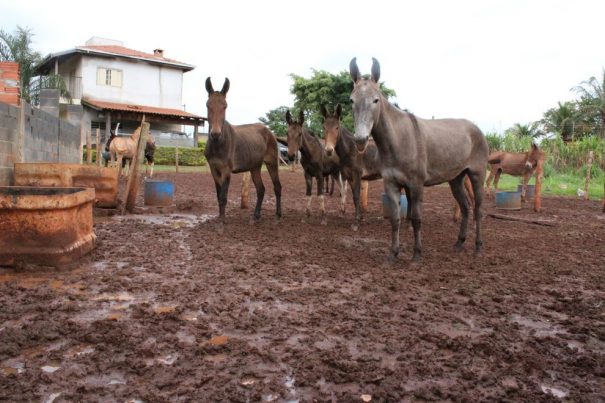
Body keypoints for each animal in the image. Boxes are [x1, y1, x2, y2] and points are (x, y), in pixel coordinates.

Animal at [202, 76, 280, 227]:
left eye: (225, 106)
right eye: (208, 105)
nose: (215, 134)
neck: (218, 144)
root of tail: (269, 131)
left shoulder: (226, 170)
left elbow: (223, 196)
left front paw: (222, 221)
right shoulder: (214, 169)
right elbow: (218, 195)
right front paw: (219, 217)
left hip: (272, 163)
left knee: (277, 187)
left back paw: (278, 215)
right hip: (255, 167)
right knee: (261, 190)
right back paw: (256, 216)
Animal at [350, 58, 486, 264]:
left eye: (376, 100)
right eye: (352, 100)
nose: (360, 140)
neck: (398, 140)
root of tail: (476, 129)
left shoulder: (416, 185)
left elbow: (416, 219)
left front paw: (416, 254)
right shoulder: (391, 184)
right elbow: (395, 220)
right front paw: (393, 254)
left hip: (477, 175)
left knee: (477, 210)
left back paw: (478, 248)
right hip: (455, 179)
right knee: (465, 208)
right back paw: (459, 243)